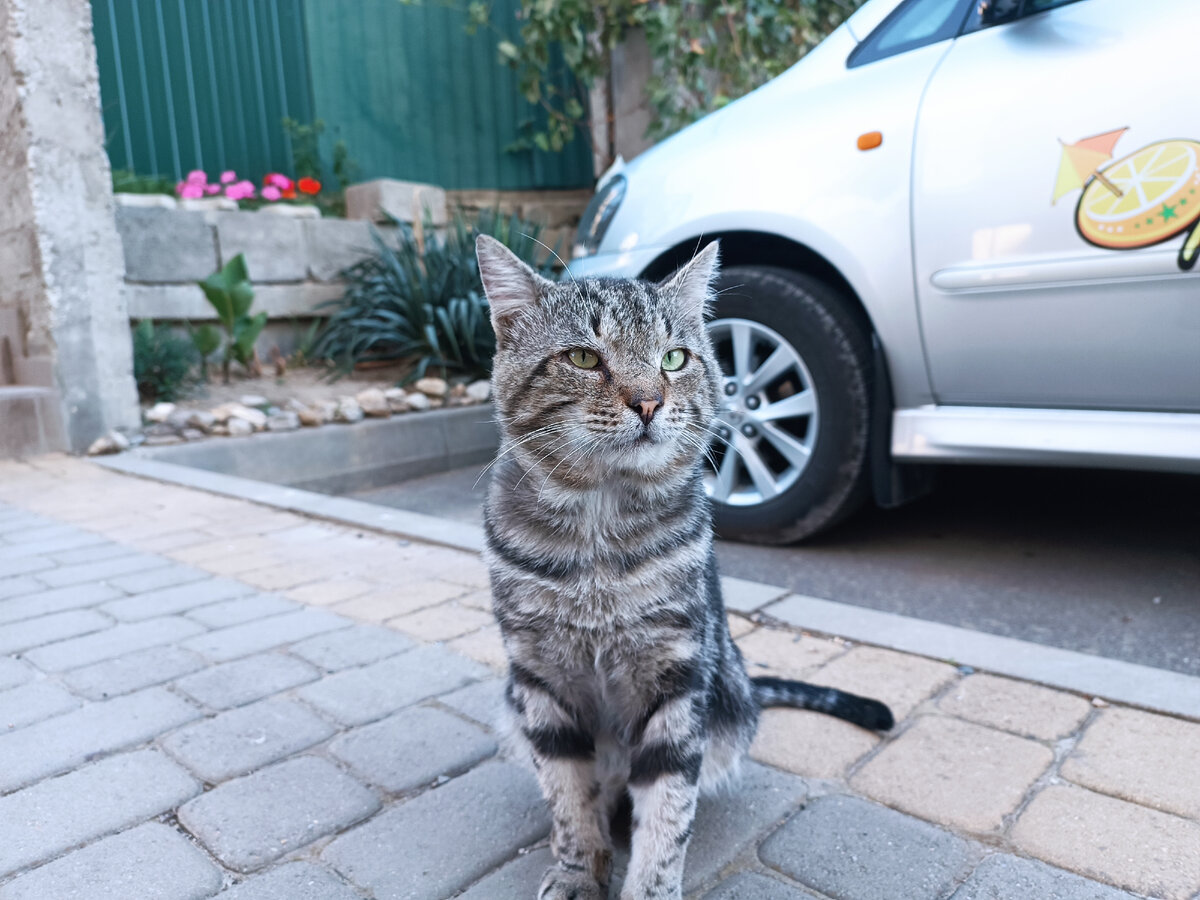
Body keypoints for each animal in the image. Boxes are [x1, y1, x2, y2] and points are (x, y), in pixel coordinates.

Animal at [475, 237, 892, 900]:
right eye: (582, 357)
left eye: (674, 358)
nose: (649, 401)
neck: (599, 524)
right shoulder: (539, 677)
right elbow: (569, 794)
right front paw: (577, 869)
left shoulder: (676, 676)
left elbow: (668, 810)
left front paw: (648, 886)